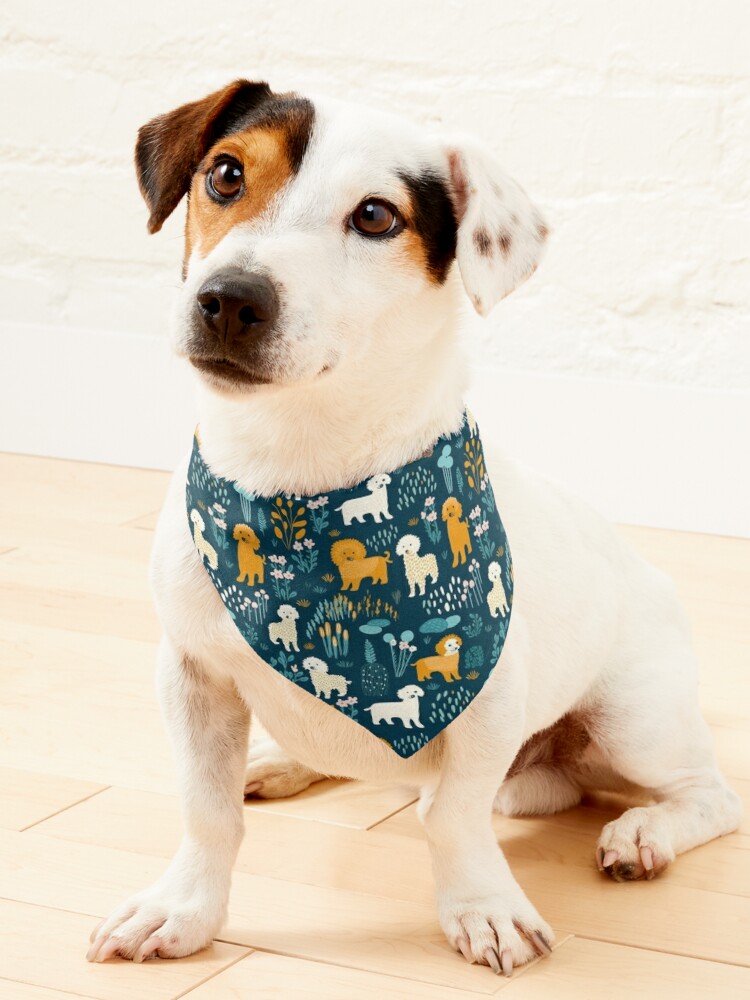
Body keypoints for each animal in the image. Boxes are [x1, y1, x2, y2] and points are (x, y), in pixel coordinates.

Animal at [86, 80, 740, 976]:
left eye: (375, 216)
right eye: (225, 174)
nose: (230, 299)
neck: (298, 474)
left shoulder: (489, 698)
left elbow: (454, 817)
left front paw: (483, 908)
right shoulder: (191, 677)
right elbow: (206, 810)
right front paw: (183, 909)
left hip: (635, 719)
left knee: (708, 796)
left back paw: (644, 833)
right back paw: (283, 762)